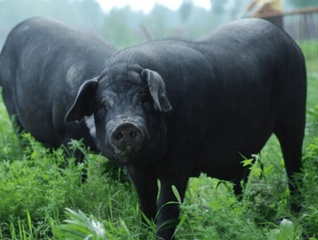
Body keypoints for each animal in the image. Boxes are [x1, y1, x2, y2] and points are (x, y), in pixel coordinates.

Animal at [66, 19, 306, 240]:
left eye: (144, 98)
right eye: (102, 104)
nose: (125, 124)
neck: (150, 162)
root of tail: (288, 39)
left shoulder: (180, 161)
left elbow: (167, 210)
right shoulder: (136, 171)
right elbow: (145, 205)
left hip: (295, 112)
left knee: (294, 166)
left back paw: (296, 215)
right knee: (242, 179)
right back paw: (240, 213)